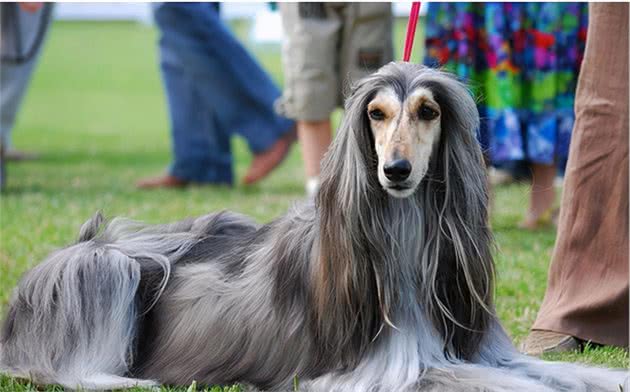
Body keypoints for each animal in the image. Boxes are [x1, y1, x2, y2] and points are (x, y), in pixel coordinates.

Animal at [0, 62, 628, 390]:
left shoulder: (484, 350)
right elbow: (497, 383)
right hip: (99, 268)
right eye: (376, 113)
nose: (395, 171)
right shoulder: (383, 372)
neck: (401, 238)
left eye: (429, 111)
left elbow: (560, 371)